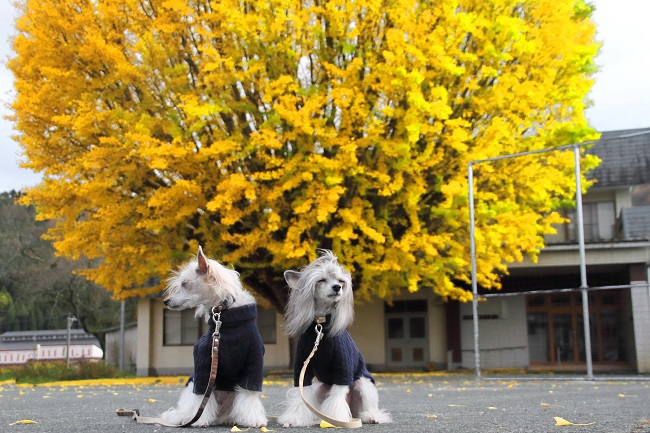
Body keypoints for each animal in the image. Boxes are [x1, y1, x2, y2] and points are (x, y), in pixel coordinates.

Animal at [159, 245, 266, 426]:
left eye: (185, 284)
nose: (166, 301)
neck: (223, 311)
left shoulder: (254, 363)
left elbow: (248, 395)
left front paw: (253, 419)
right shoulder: (203, 363)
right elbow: (200, 398)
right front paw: (199, 420)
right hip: (192, 386)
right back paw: (184, 417)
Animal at [274, 250, 390, 426]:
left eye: (341, 281)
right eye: (321, 280)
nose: (337, 287)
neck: (321, 325)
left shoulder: (343, 368)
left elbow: (337, 396)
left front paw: (335, 419)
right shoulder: (302, 368)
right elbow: (301, 395)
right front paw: (294, 419)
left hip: (364, 384)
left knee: (368, 406)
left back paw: (372, 416)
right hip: (319, 387)